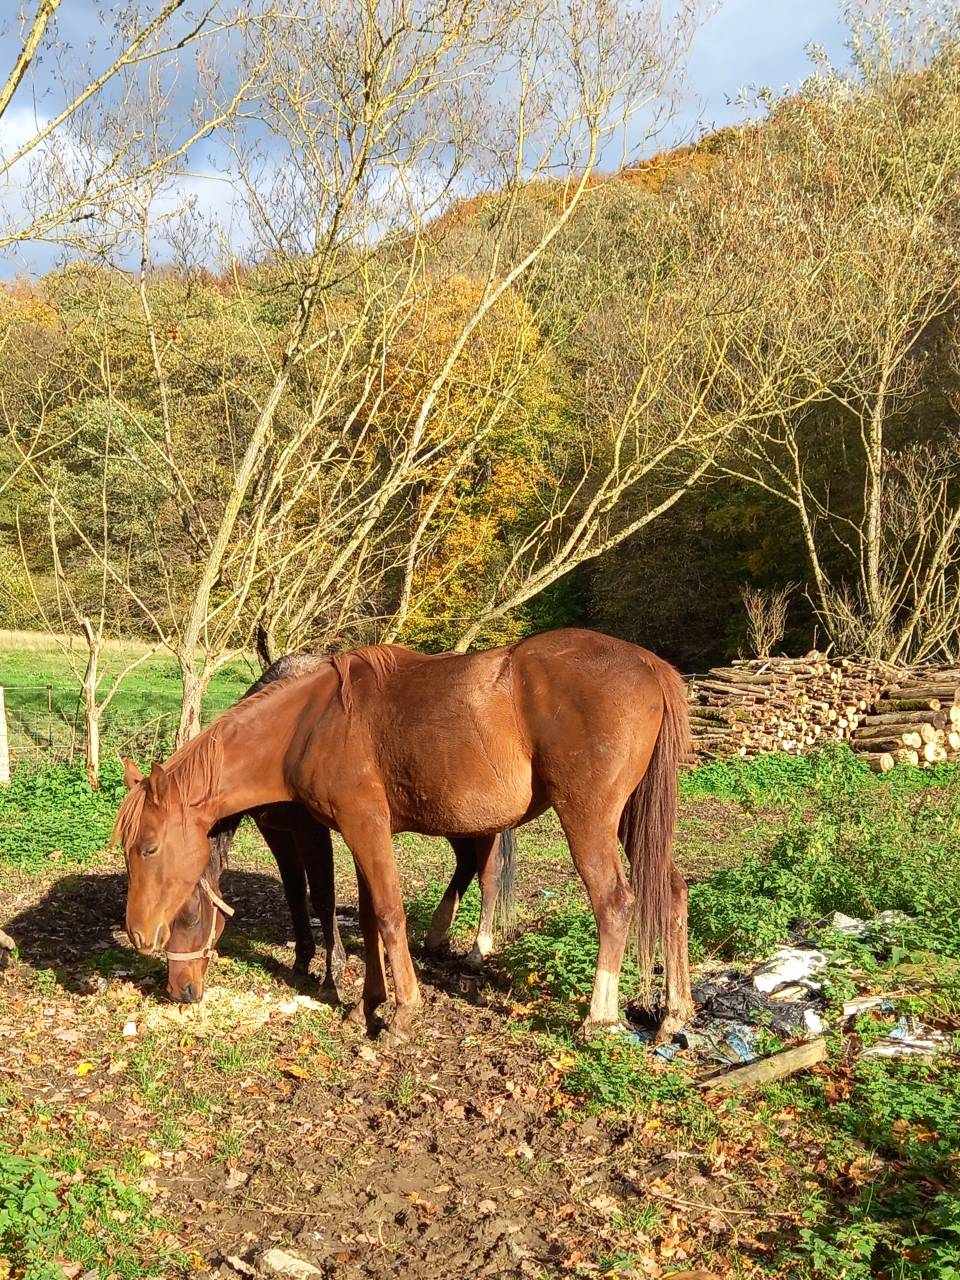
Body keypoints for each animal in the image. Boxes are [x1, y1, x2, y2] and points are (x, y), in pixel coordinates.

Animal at [155, 654, 517, 1003]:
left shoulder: (312, 831)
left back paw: (477, 951)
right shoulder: (276, 831)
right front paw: (302, 960)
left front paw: (332, 975)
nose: (179, 991)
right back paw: (437, 933)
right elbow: (295, 891)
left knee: (489, 873)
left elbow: (322, 896)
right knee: (466, 863)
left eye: (189, 916)